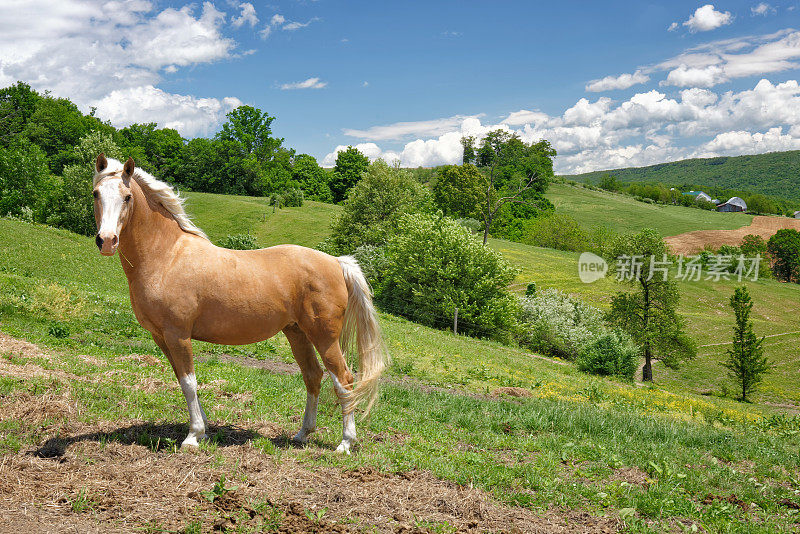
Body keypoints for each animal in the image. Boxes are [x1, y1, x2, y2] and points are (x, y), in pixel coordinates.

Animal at [92, 153, 390, 454]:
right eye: (96, 193)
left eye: (127, 196)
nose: (107, 241)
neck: (167, 256)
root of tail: (337, 262)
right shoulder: (161, 336)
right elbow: (182, 379)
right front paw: (204, 430)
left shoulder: (178, 335)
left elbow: (189, 382)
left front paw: (193, 436)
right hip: (297, 333)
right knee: (313, 376)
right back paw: (302, 434)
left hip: (324, 337)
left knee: (343, 380)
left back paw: (345, 442)